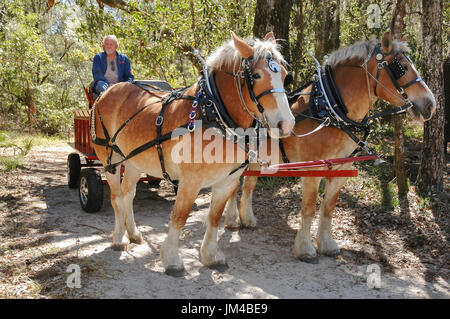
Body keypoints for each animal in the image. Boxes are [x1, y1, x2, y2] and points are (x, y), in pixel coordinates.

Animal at [91, 31, 296, 276]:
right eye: (255, 75)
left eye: (284, 75)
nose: (286, 124)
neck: (213, 113)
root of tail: (107, 92)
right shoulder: (190, 181)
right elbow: (179, 217)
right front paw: (171, 258)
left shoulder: (227, 180)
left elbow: (214, 217)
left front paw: (210, 255)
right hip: (110, 160)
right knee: (116, 198)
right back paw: (119, 237)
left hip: (133, 162)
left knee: (128, 194)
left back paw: (133, 233)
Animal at [225, 31, 436, 262]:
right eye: (402, 67)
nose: (431, 104)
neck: (329, 110)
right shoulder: (313, 170)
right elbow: (309, 209)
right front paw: (305, 248)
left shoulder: (341, 169)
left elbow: (328, 208)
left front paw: (327, 244)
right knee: (234, 184)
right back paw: (232, 219)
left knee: (248, 184)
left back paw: (246, 218)